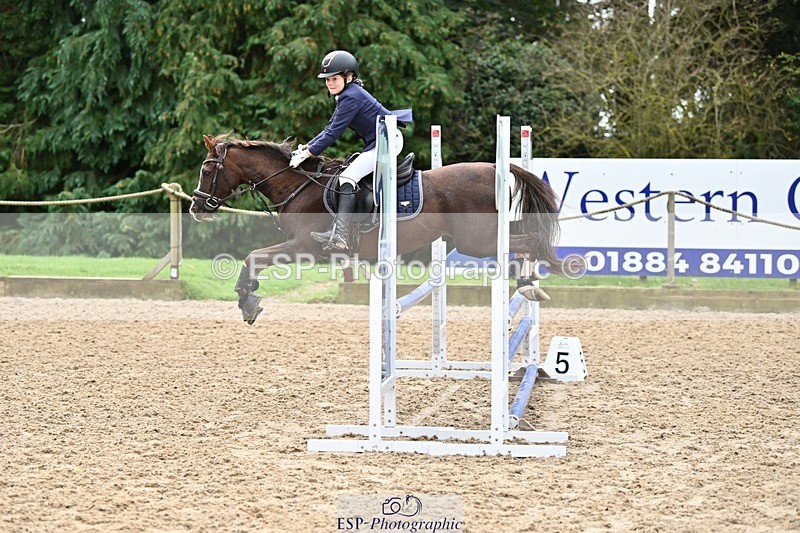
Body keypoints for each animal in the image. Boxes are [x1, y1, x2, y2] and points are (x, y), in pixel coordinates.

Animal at [190, 133, 567, 324]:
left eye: (207, 170)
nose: (195, 207)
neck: (299, 184)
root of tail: (493, 169)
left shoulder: (304, 246)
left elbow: (254, 256)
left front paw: (247, 300)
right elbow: (255, 257)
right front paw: (249, 296)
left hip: (476, 241)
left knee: (528, 240)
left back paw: (528, 284)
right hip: (480, 237)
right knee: (526, 238)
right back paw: (529, 284)